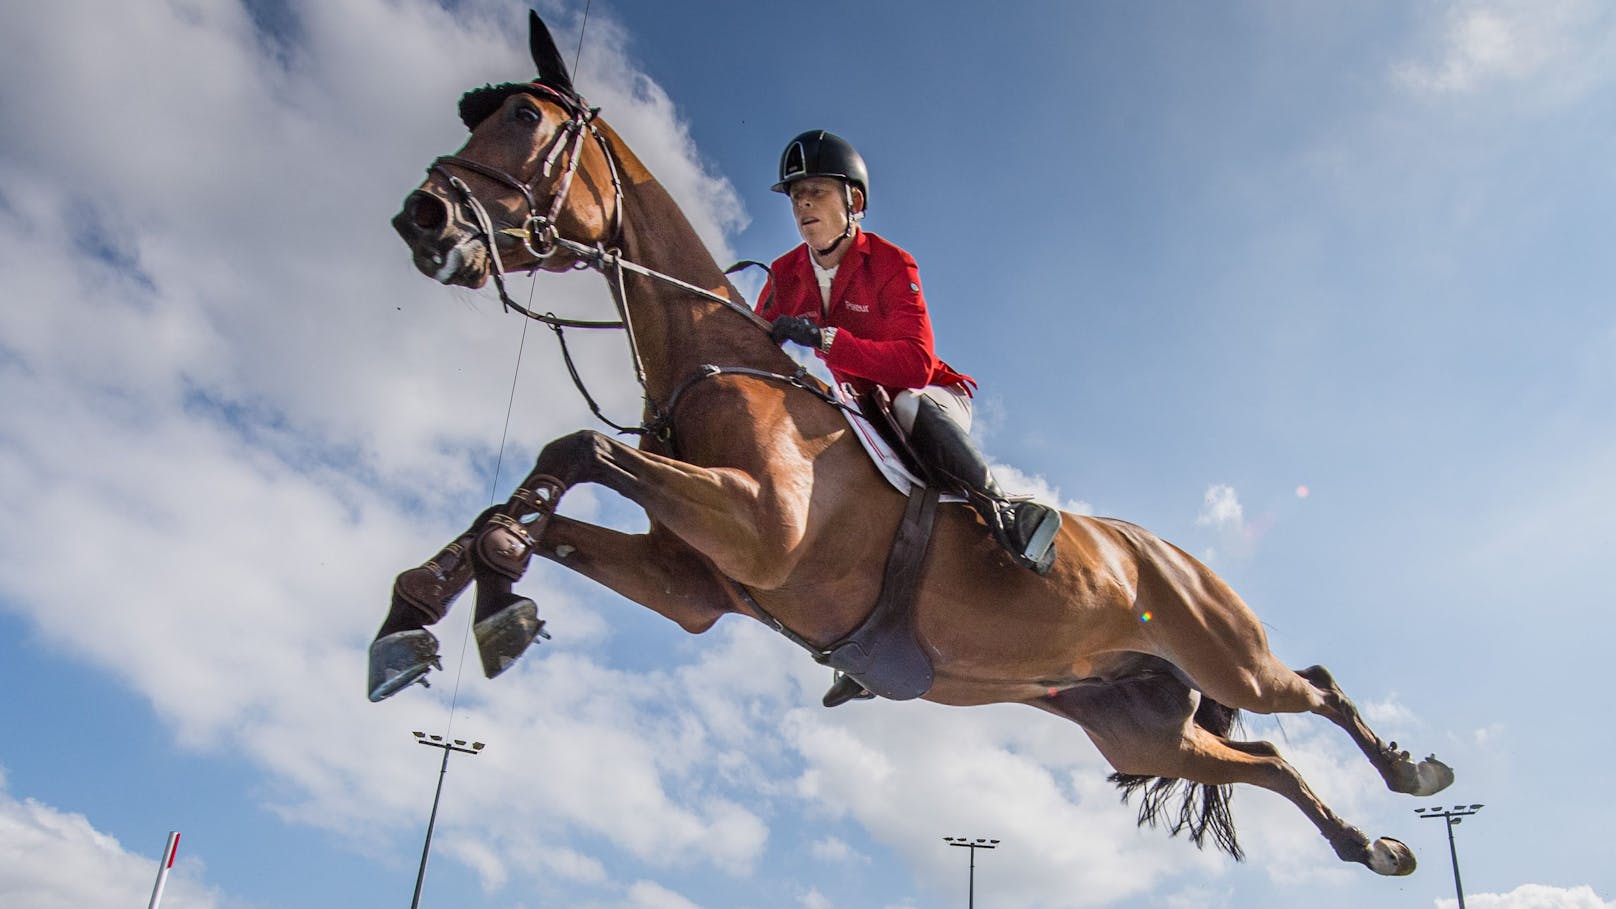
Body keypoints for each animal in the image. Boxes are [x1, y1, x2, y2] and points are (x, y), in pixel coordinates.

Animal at [374, 8, 1454, 873]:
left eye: (525, 120)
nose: (421, 218)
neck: (712, 363)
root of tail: (1171, 556)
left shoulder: (760, 524)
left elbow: (573, 452)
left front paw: (486, 595)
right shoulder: (693, 586)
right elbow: (533, 503)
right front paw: (440, 608)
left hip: (1225, 656)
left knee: (1312, 688)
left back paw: (1411, 774)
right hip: (1136, 726)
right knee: (1266, 759)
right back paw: (1371, 846)